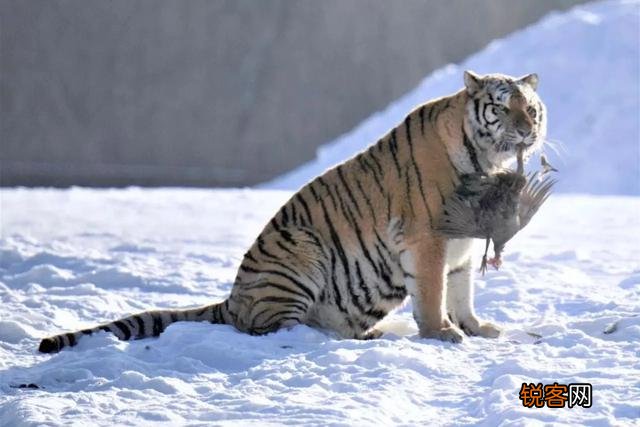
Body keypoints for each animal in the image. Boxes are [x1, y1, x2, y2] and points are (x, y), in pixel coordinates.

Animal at [39, 71, 546, 353]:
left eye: (531, 107)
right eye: (502, 107)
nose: (527, 129)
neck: (487, 161)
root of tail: (232, 299)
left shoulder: (462, 244)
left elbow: (461, 291)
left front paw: (477, 329)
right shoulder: (428, 239)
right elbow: (434, 293)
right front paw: (442, 333)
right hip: (299, 250)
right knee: (273, 329)